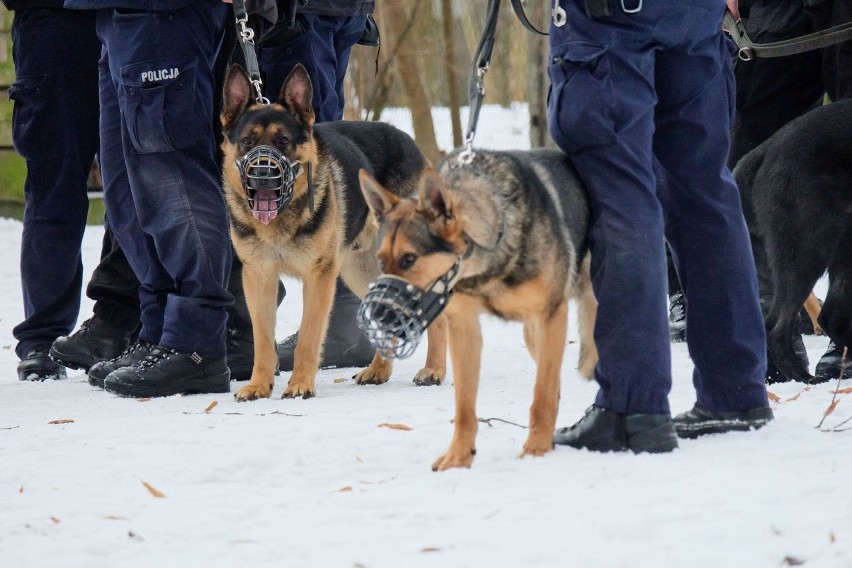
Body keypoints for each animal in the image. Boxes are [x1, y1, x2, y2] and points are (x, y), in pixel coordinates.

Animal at [220, 64, 446, 402]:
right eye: (247, 141)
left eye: (283, 141)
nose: (262, 175)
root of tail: (409, 141)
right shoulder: (258, 277)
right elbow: (262, 340)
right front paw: (259, 384)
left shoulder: (319, 277)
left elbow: (308, 337)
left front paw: (300, 384)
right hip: (361, 271)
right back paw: (379, 370)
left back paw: (434, 370)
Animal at [360, 148, 600, 470]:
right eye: (381, 260)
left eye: (409, 259)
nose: (376, 315)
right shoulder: (464, 328)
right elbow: (464, 407)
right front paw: (458, 456)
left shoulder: (551, 316)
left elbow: (542, 397)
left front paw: (536, 450)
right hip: (532, 335)